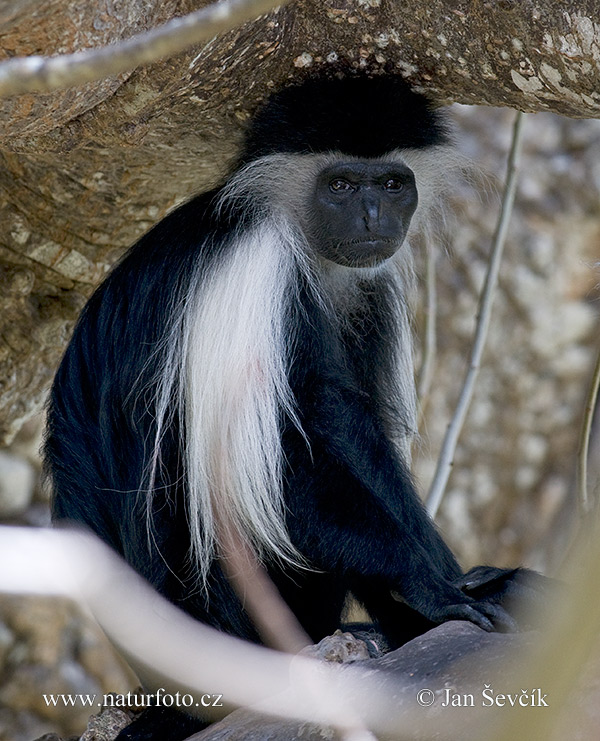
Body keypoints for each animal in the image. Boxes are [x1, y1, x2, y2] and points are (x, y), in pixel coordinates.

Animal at [44, 76, 540, 740]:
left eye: (391, 184)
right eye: (340, 185)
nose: (372, 216)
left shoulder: (365, 289)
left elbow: (363, 435)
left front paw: (464, 583)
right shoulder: (257, 268)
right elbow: (275, 475)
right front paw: (431, 590)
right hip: (229, 616)